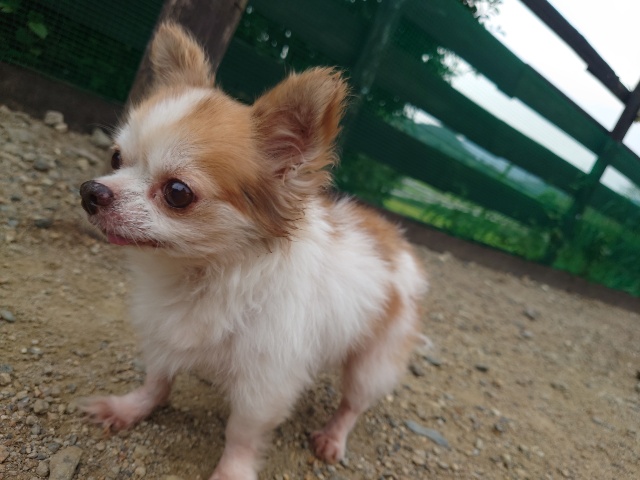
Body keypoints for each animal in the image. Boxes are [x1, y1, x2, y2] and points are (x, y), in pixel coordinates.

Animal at [79, 22, 428, 480]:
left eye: (178, 192)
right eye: (116, 158)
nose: (91, 192)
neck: (202, 274)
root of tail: (394, 238)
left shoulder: (264, 384)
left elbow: (241, 434)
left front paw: (232, 471)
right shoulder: (163, 335)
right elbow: (157, 380)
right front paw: (130, 408)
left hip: (373, 360)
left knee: (353, 403)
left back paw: (333, 436)